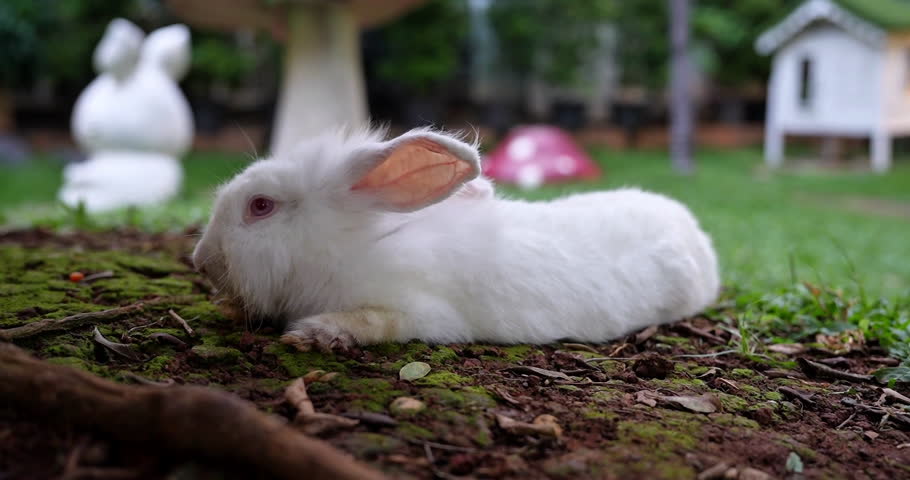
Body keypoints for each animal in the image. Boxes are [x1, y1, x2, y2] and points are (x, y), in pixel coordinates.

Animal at [192, 126, 720, 348]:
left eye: (261, 206)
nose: (201, 260)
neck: (344, 244)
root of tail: (694, 231)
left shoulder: (418, 312)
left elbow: (376, 321)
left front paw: (316, 332)